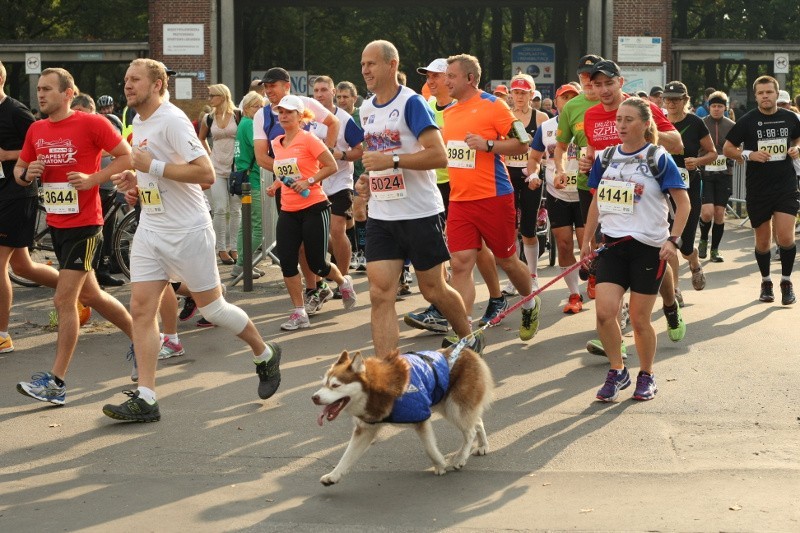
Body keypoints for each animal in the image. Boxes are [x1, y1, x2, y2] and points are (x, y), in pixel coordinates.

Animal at [312, 348, 494, 484]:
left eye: (335, 385)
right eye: (324, 384)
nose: (314, 397)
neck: (375, 390)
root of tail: (468, 351)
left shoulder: (420, 417)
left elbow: (429, 448)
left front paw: (440, 464)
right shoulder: (365, 429)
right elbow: (347, 456)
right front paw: (333, 475)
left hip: (454, 408)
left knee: (470, 431)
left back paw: (460, 458)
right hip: (448, 405)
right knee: (477, 422)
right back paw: (483, 445)